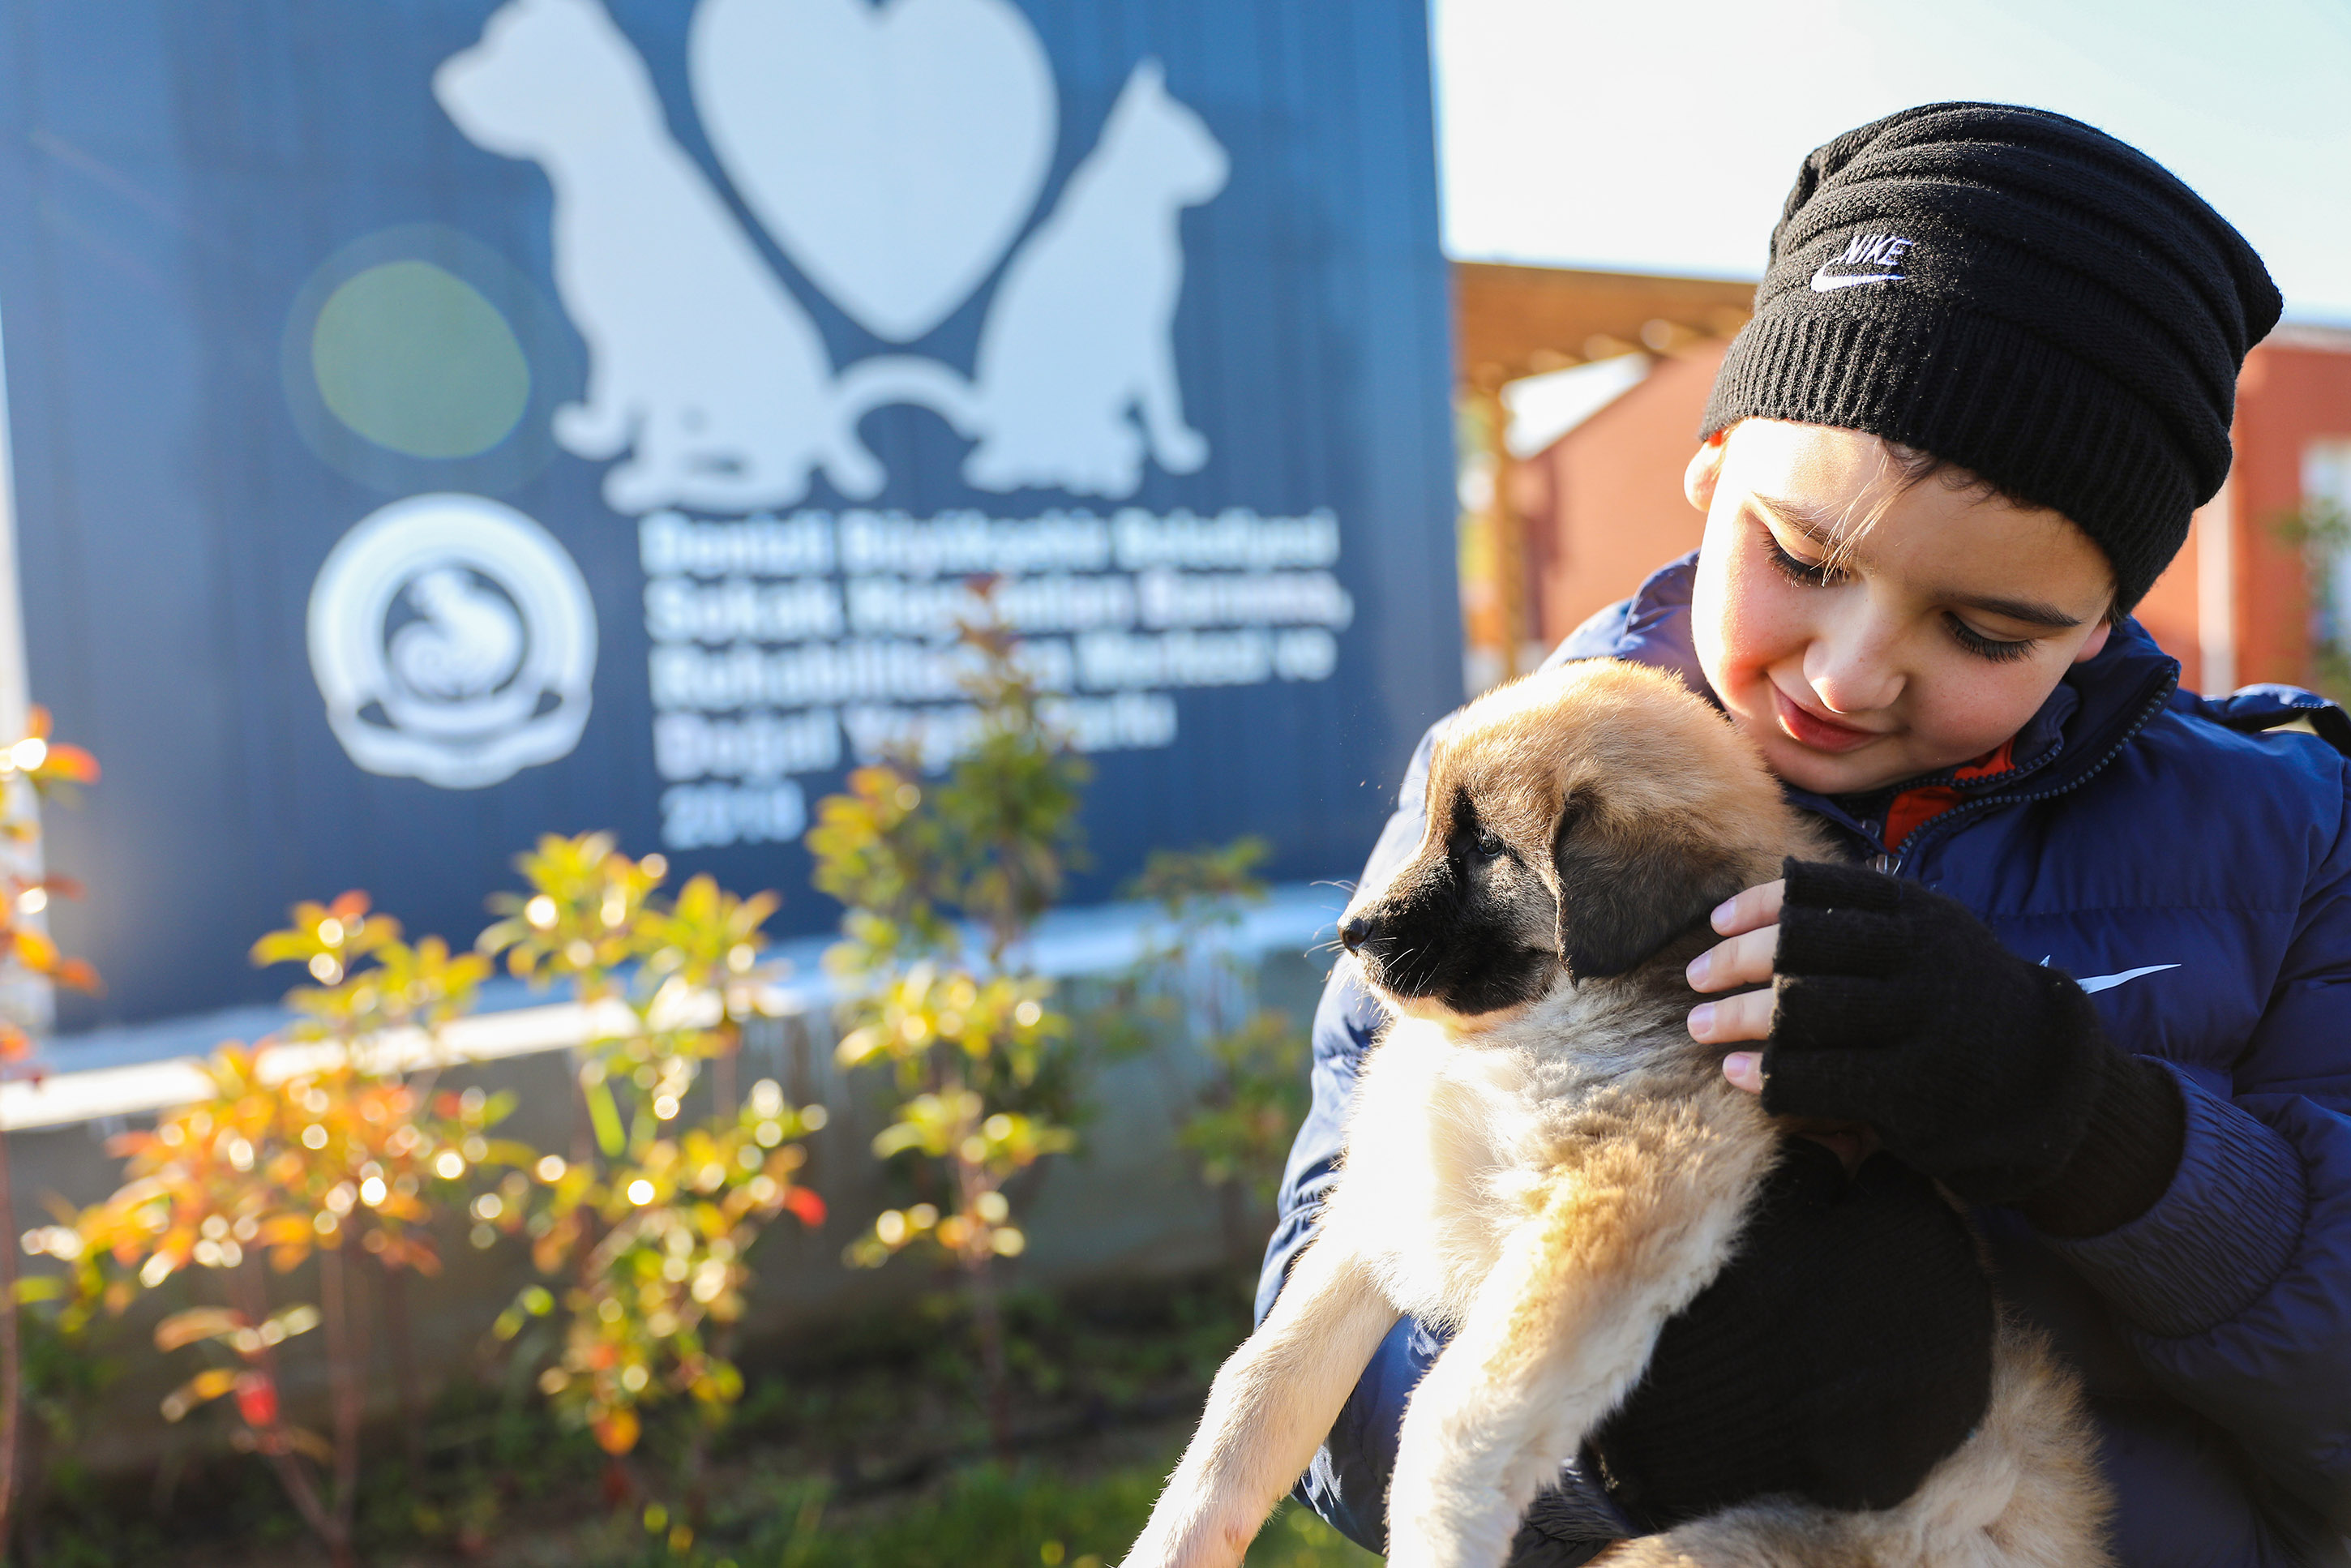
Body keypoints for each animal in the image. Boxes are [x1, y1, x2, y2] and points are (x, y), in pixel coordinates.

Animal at [1119, 662, 2116, 1568]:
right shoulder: (1391, 1207)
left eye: (1486, 847)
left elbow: (1449, 1421)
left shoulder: (1615, 1198)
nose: (1352, 931)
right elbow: (1257, 1383)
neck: (1535, 1025)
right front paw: (1177, 1538)